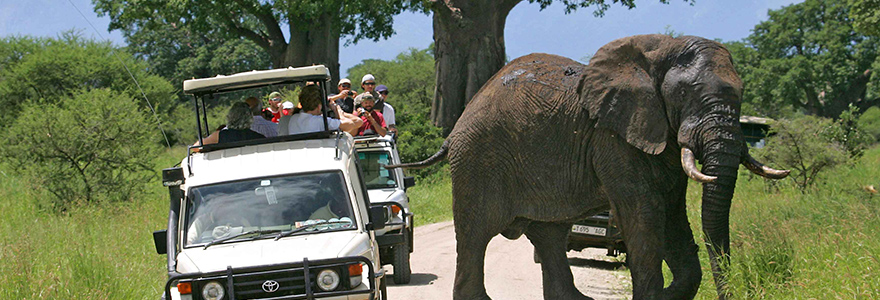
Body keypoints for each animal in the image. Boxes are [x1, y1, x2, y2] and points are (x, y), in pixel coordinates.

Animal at [388, 34, 788, 298]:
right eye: (685, 94)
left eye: (742, 94)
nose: (732, 291)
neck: (661, 48)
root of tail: (460, 120)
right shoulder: (612, 137)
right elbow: (645, 212)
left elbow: (673, 214)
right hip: (477, 159)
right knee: (475, 235)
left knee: (548, 235)